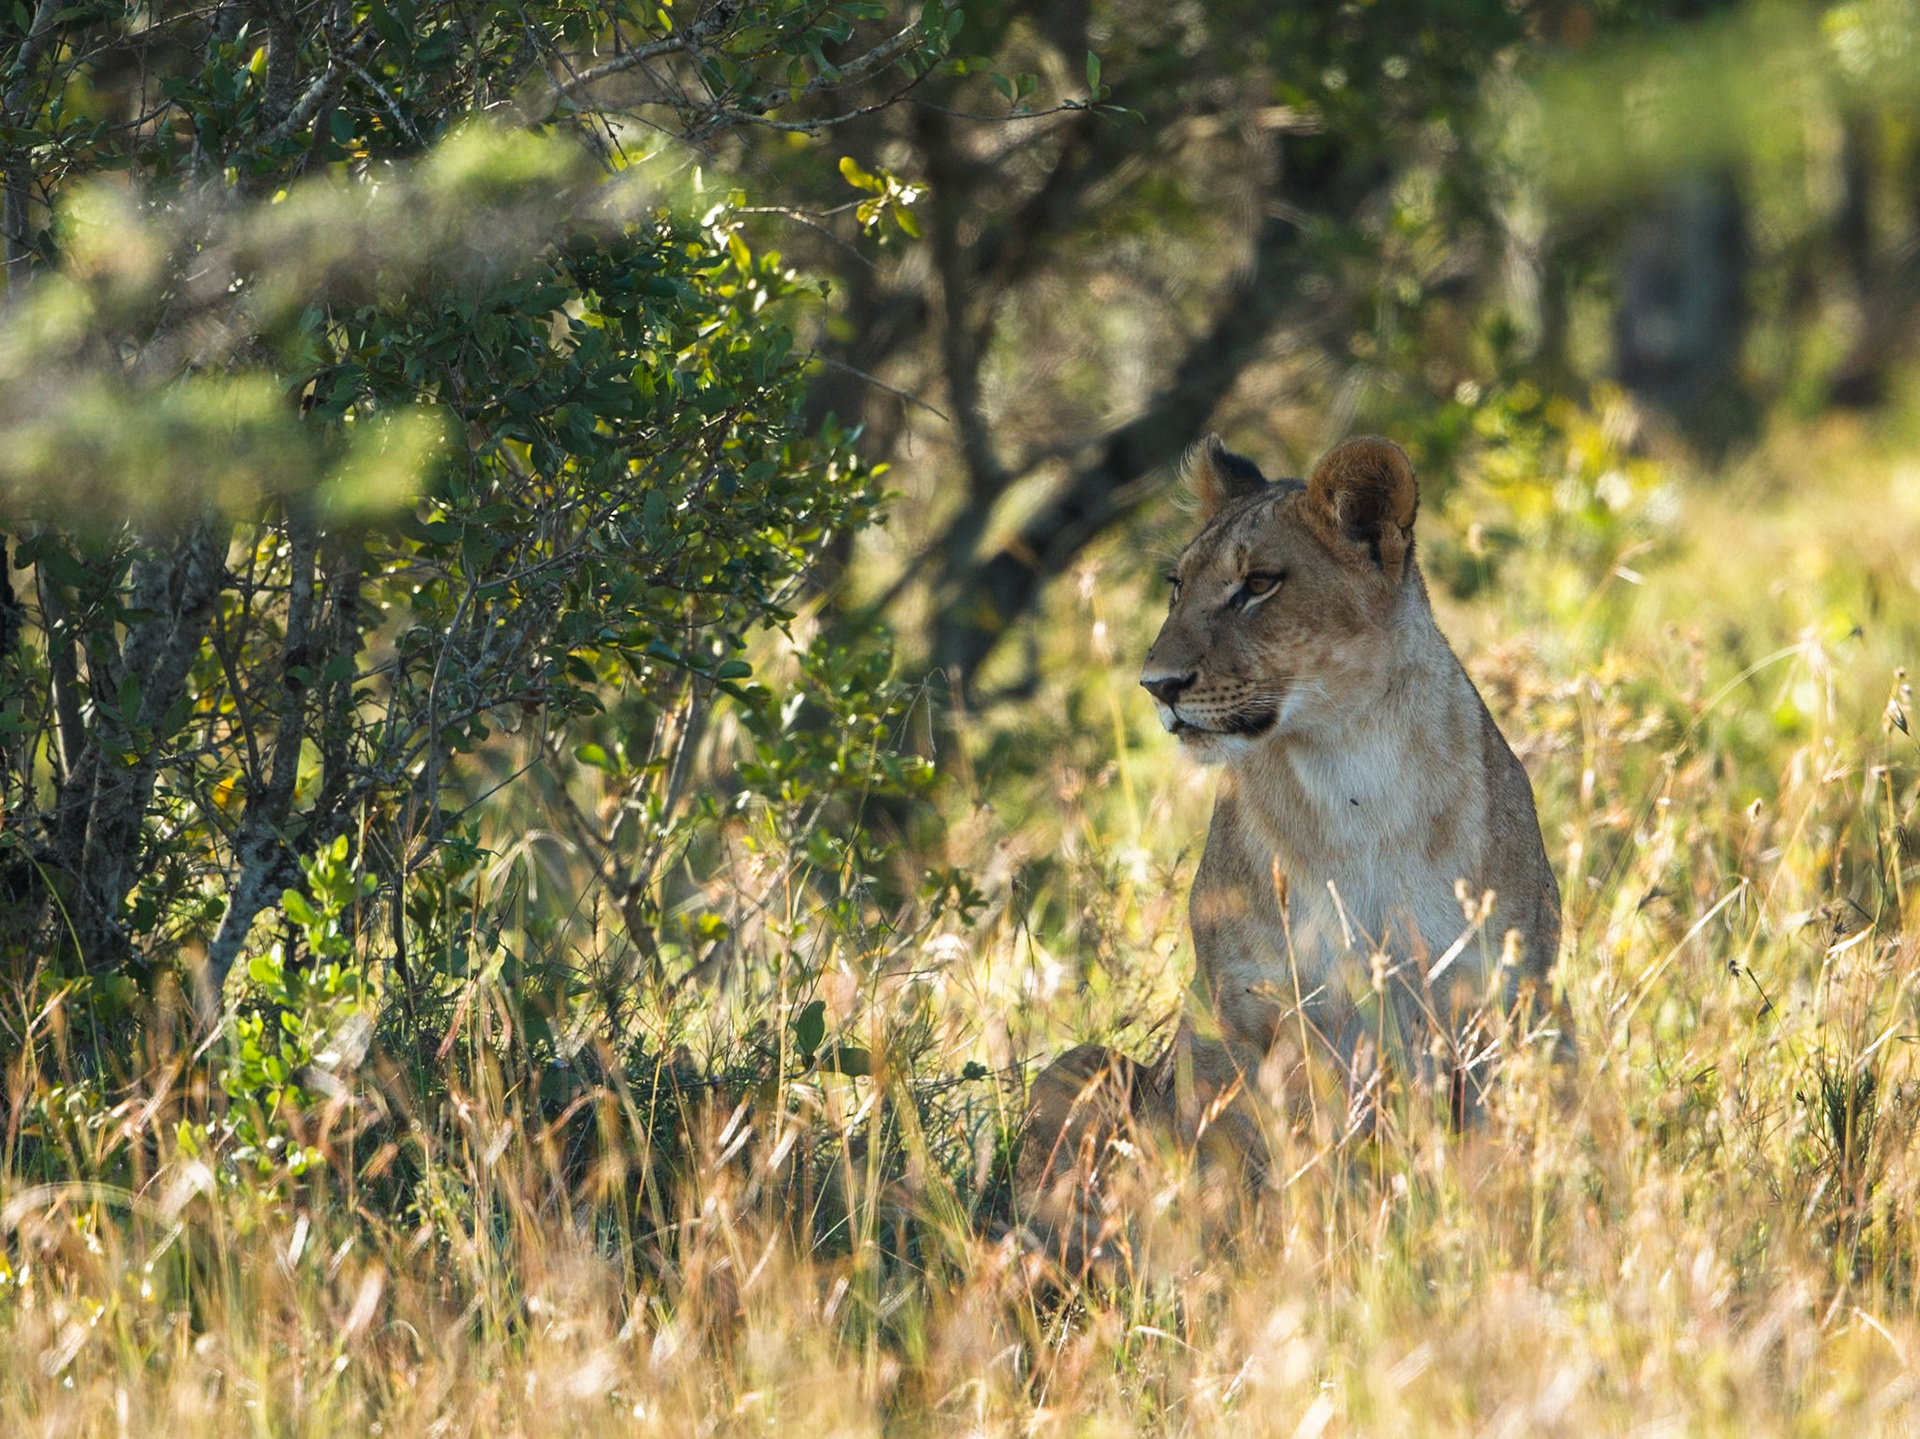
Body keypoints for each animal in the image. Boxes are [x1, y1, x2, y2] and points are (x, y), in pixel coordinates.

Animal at [1015, 435, 1566, 1262]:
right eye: (1178, 584)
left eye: (1259, 584)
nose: (1157, 684)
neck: (1348, 776)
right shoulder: (1241, 1013)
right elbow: (1235, 1166)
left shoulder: (1499, 1006)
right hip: (1081, 1062)